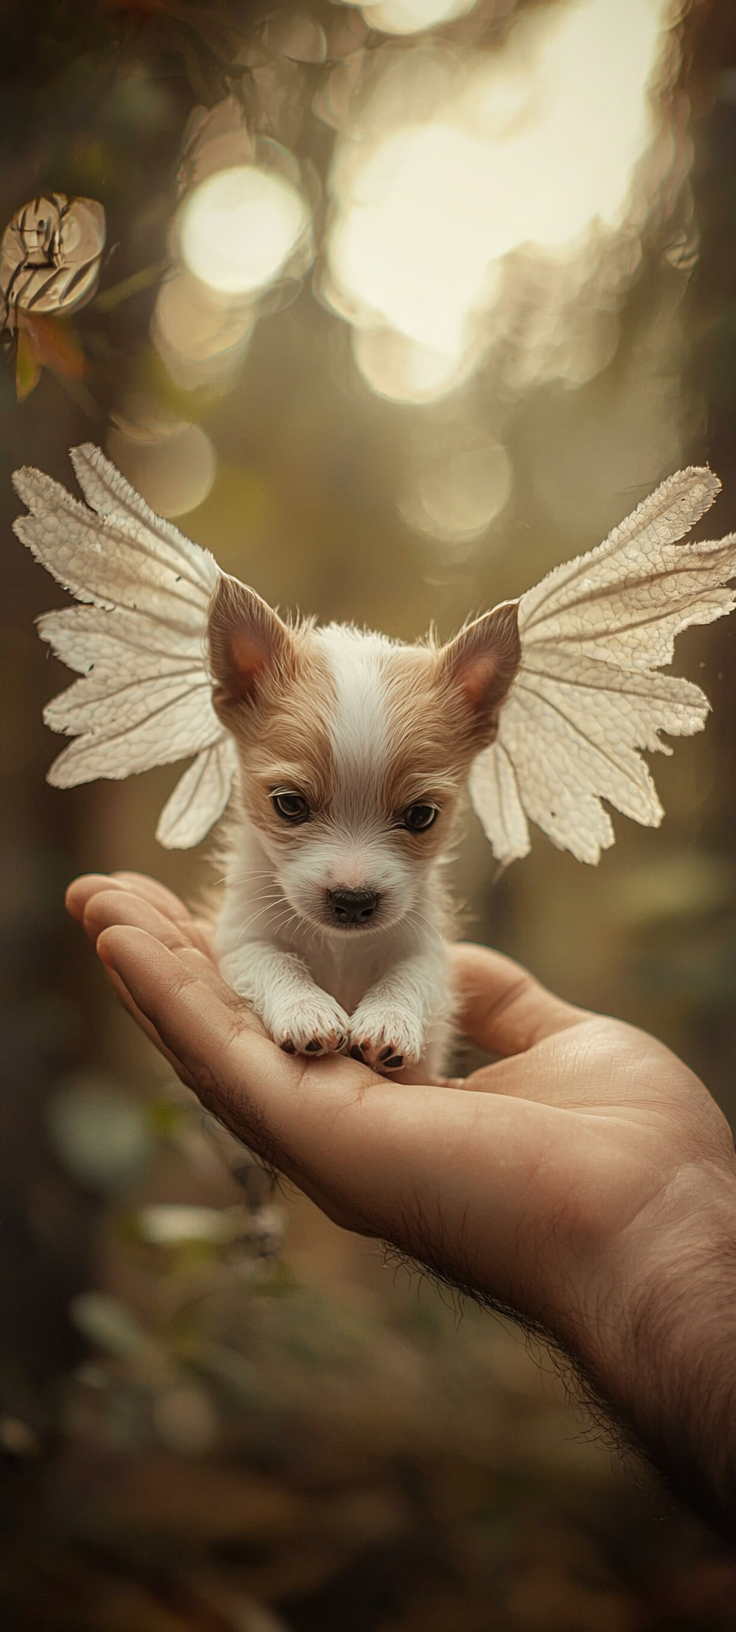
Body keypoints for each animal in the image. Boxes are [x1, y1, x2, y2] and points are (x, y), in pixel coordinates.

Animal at [205, 577, 525, 1083]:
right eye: (289, 805)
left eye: (421, 816)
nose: (353, 902)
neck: (342, 947)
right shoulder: (240, 939)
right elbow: (274, 962)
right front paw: (307, 1010)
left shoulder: (426, 953)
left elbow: (409, 977)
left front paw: (388, 1020)